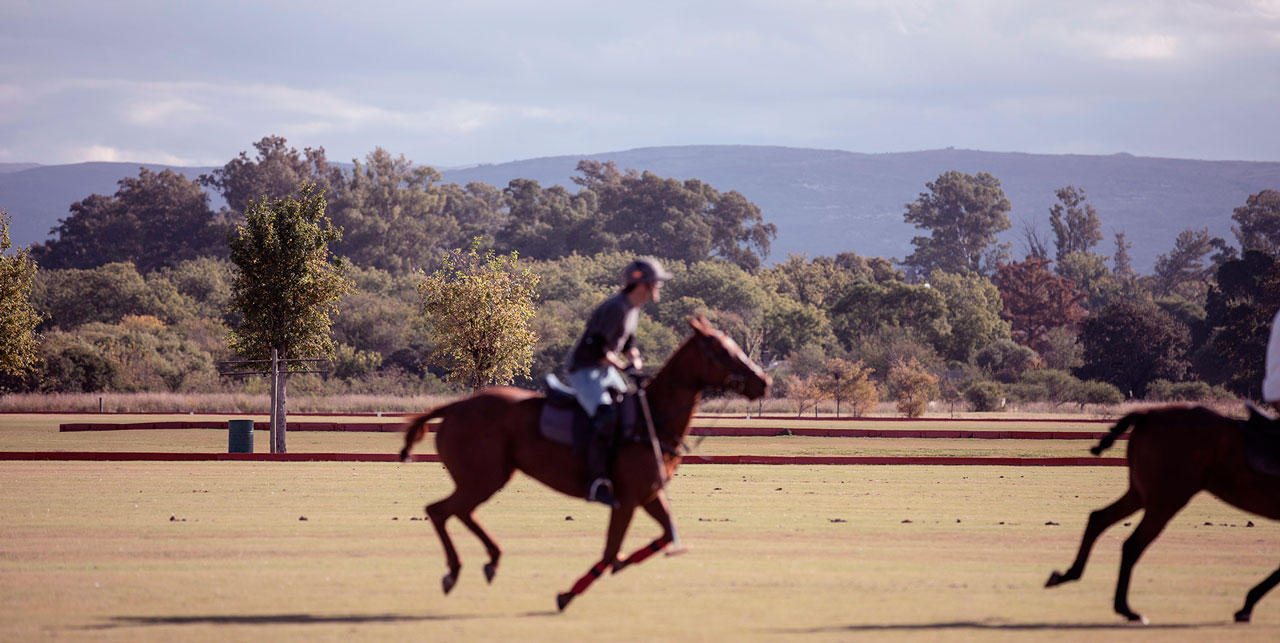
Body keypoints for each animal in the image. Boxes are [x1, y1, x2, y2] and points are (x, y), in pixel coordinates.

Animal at [396, 318, 768, 609]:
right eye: (721, 350)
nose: (763, 382)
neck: (652, 419)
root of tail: (454, 407)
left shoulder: (649, 494)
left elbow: (664, 534)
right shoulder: (627, 499)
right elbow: (610, 553)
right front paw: (567, 594)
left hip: (486, 477)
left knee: (456, 511)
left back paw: (489, 560)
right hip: (483, 477)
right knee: (440, 510)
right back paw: (456, 571)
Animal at [1044, 407, 1280, 622]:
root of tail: (1148, 415)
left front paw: (1246, 606)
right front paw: (1246, 607)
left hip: (1142, 493)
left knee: (1099, 518)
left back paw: (1067, 576)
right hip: (1169, 496)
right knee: (1132, 543)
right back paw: (1126, 609)